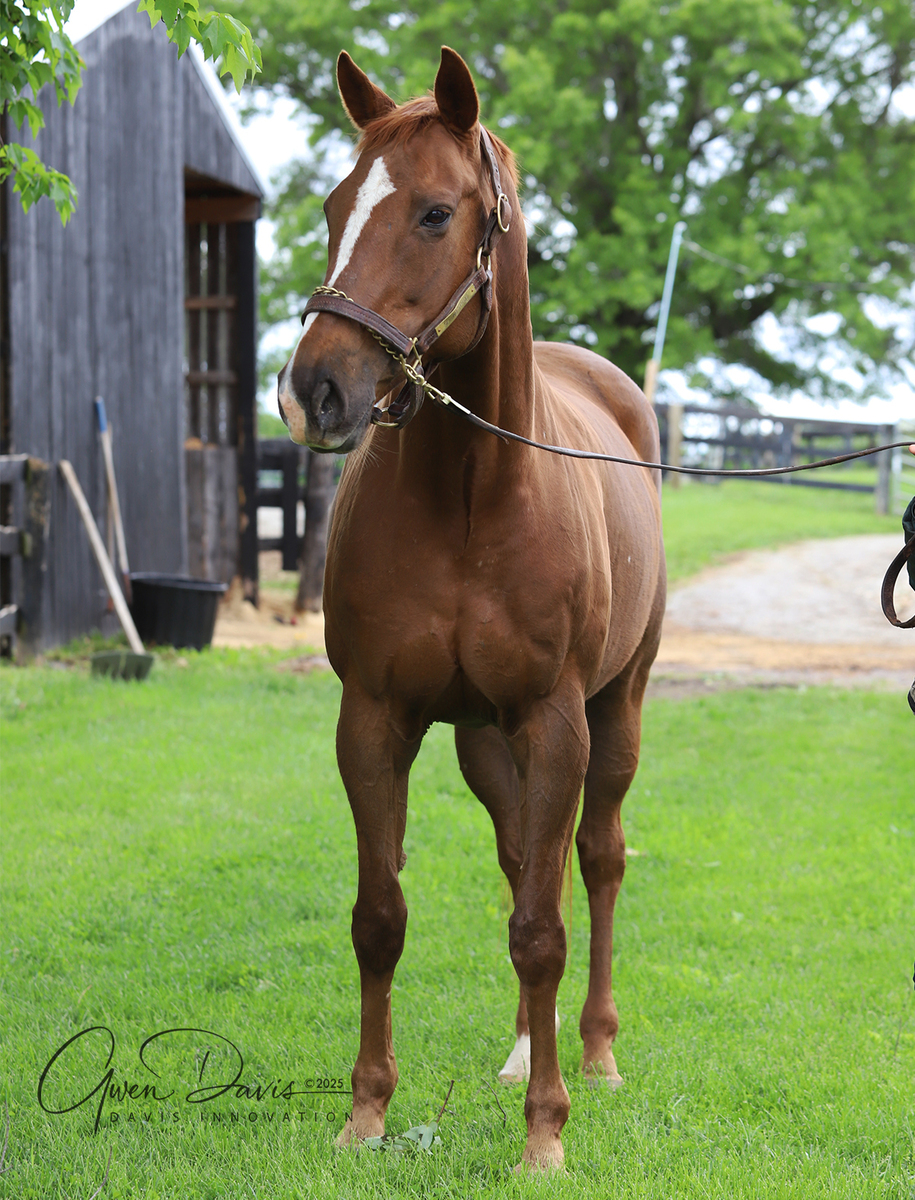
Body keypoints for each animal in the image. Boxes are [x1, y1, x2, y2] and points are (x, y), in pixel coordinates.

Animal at [277, 46, 666, 1170]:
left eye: (436, 212)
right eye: (334, 205)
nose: (314, 391)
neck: (471, 497)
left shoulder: (557, 720)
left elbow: (543, 929)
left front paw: (544, 1136)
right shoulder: (375, 718)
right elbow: (381, 917)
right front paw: (366, 1113)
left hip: (613, 716)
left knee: (595, 863)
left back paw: (593, 1053)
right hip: (488, 743)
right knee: (521, 865)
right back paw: (523, 1049)